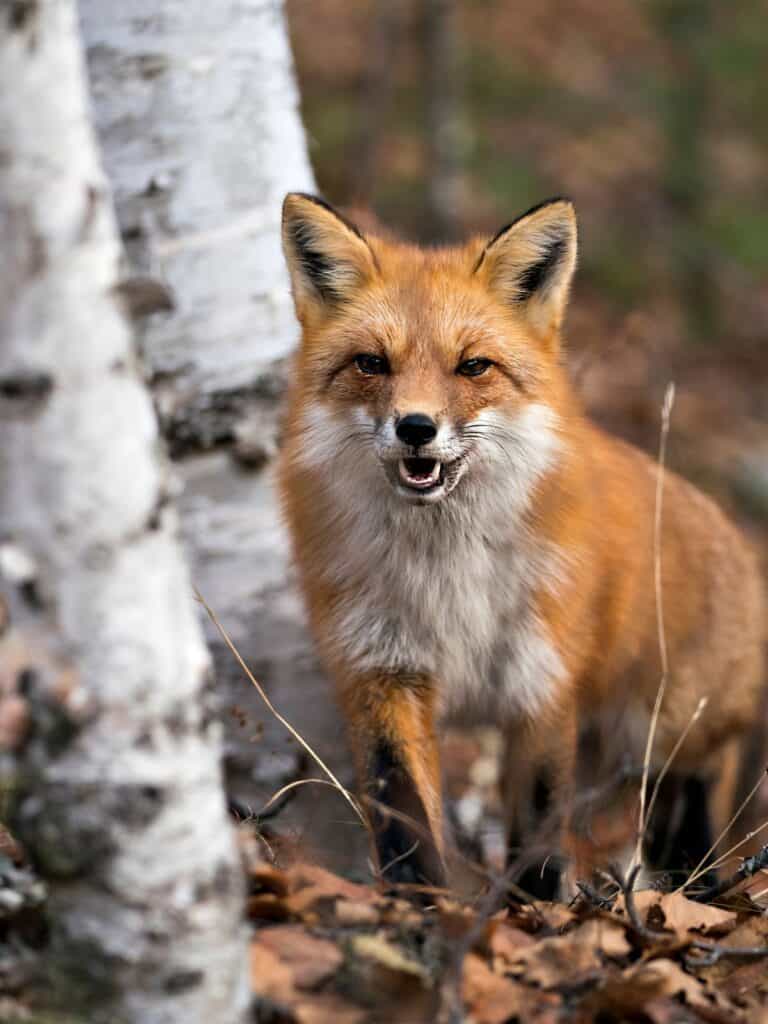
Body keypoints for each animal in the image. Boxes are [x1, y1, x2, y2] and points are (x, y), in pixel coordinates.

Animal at [277, 191, 766, 898]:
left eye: (473, 365)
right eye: (372, 363)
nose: (416, 427)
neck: (444, 575)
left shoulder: (540, 682)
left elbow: (536, 832)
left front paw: (533, 911)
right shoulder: (382, 670)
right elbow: (403, 815)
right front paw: (419, 907)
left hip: (668, 733)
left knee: (695, 799)